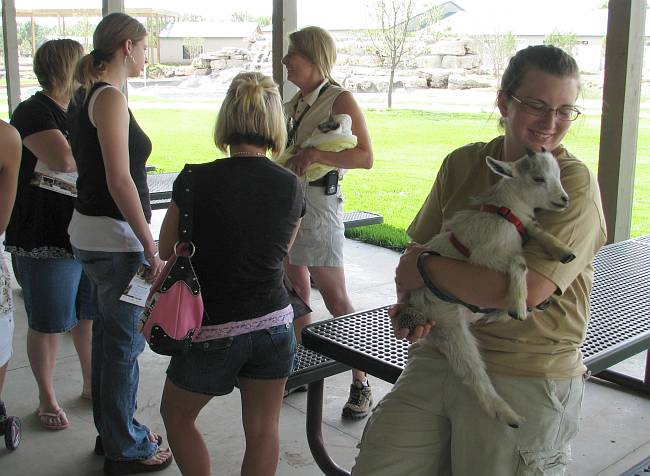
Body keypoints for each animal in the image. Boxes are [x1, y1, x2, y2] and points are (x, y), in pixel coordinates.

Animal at [394, 150, 572, 428]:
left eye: (558, 174)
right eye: (538, 178)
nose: (564, 199)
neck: (503, 213)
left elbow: (534, 229)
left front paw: (563, 251)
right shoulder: (484, 258)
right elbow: (520, 262)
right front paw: (518, 307)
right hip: (453, 329)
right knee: (473, 373)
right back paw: (509, 415)